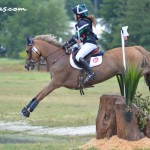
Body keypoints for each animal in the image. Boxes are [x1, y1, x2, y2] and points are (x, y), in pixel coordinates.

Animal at [20, 34, 150, 117]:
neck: (57, 58)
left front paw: (27, 111)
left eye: (27, 50)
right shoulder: (54, 83)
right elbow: (38, 94)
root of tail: (135, 48)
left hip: (133, 72)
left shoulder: (55, 83)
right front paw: (25, 109)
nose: (27, 66)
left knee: (144, 71)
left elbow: (41, 95)